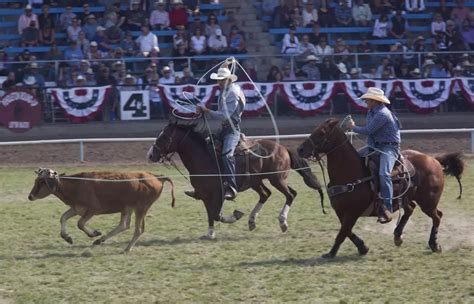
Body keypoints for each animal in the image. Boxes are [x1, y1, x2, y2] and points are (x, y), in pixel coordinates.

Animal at [27, 169, 176, 252]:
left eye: (42, 182)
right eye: (36, 180)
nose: (30, 196)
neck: (76, 184)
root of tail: (156, 177)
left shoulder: (93, 209)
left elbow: (80, 224)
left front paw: (94, 233)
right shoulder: (77, 209)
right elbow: (63, 217)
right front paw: (67, 238)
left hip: (141, 207)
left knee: (138, 229)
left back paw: (127, 248)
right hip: (127, 207)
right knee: (124, 225)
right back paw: (101, 240)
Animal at [149, 121, 326, 240]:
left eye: (164, 137)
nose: (150, 154)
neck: (204, 158)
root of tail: (283, 148)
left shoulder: (218, 193)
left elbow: (217, 215)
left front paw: (236, 215)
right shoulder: (205, 195)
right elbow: (211, 214)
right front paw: (210, 233)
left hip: (277, 179)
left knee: (290, 194)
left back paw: (283, 222)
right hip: (256, 182)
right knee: (265, 194)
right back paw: (252, 221)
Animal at [298, 117, 464, 258]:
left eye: (322, 132)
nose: (300, 149)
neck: (350, 173)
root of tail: (434, 160)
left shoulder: (352, 212)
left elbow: (342, 233)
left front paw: (331, 253)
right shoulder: (340, 211)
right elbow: (347, 231)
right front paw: (362, 248)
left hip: (428, 201)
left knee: (437, 216)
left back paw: (434, 245)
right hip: (409, 198)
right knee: (411, 209)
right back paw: (398, 236)